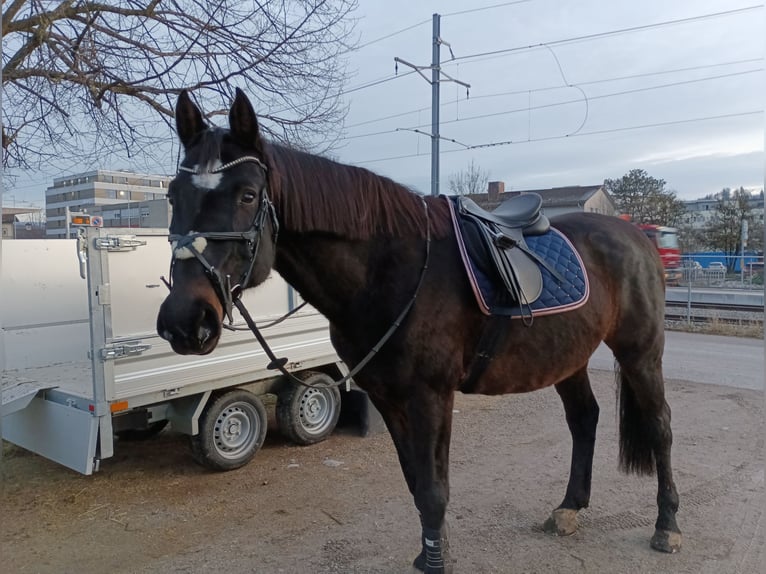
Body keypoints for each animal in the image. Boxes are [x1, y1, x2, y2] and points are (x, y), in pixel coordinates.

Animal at [158, 88, 684, 572]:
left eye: (247, 195)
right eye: (172, 196)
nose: (185, 321)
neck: (389, 269)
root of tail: (635, 235)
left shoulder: (430, 394)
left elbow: (434, 489)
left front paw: (435, 561)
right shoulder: (389, 396)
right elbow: (417, 482)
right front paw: (431, 552)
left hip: (640, 353)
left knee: (660, 426)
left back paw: (667, 525)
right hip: (566, 358)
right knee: (584, 420)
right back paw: (570, 508)